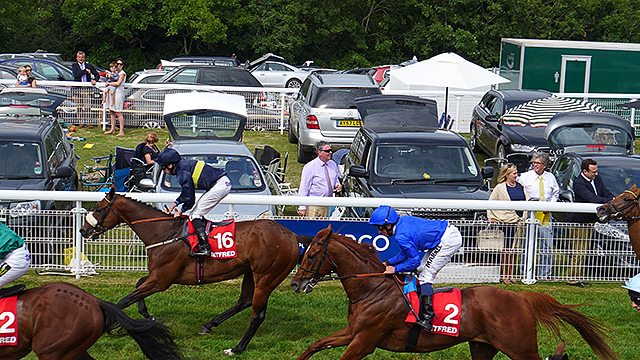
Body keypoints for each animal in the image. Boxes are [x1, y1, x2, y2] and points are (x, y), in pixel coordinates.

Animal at [79, 187, 308, 356]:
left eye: (99, 209)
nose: (83, 230)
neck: (162, 233)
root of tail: (292, 235)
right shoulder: (157, 276)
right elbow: (137, 286)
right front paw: (148, 316)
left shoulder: (161, 280)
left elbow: (124, 300)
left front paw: (106, 322)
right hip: (251, 272)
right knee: (244, 301)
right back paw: (209, 325)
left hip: (267, 276)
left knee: (257, 315)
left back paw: (236, 348)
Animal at [292, 225, 620, 360]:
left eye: (312, 255)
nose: (296, 284)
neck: (373, 288)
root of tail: (520, 297)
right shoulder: (354, 332)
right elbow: (316, 345)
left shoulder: (365, 340)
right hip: (483, 346)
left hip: (520, 347)